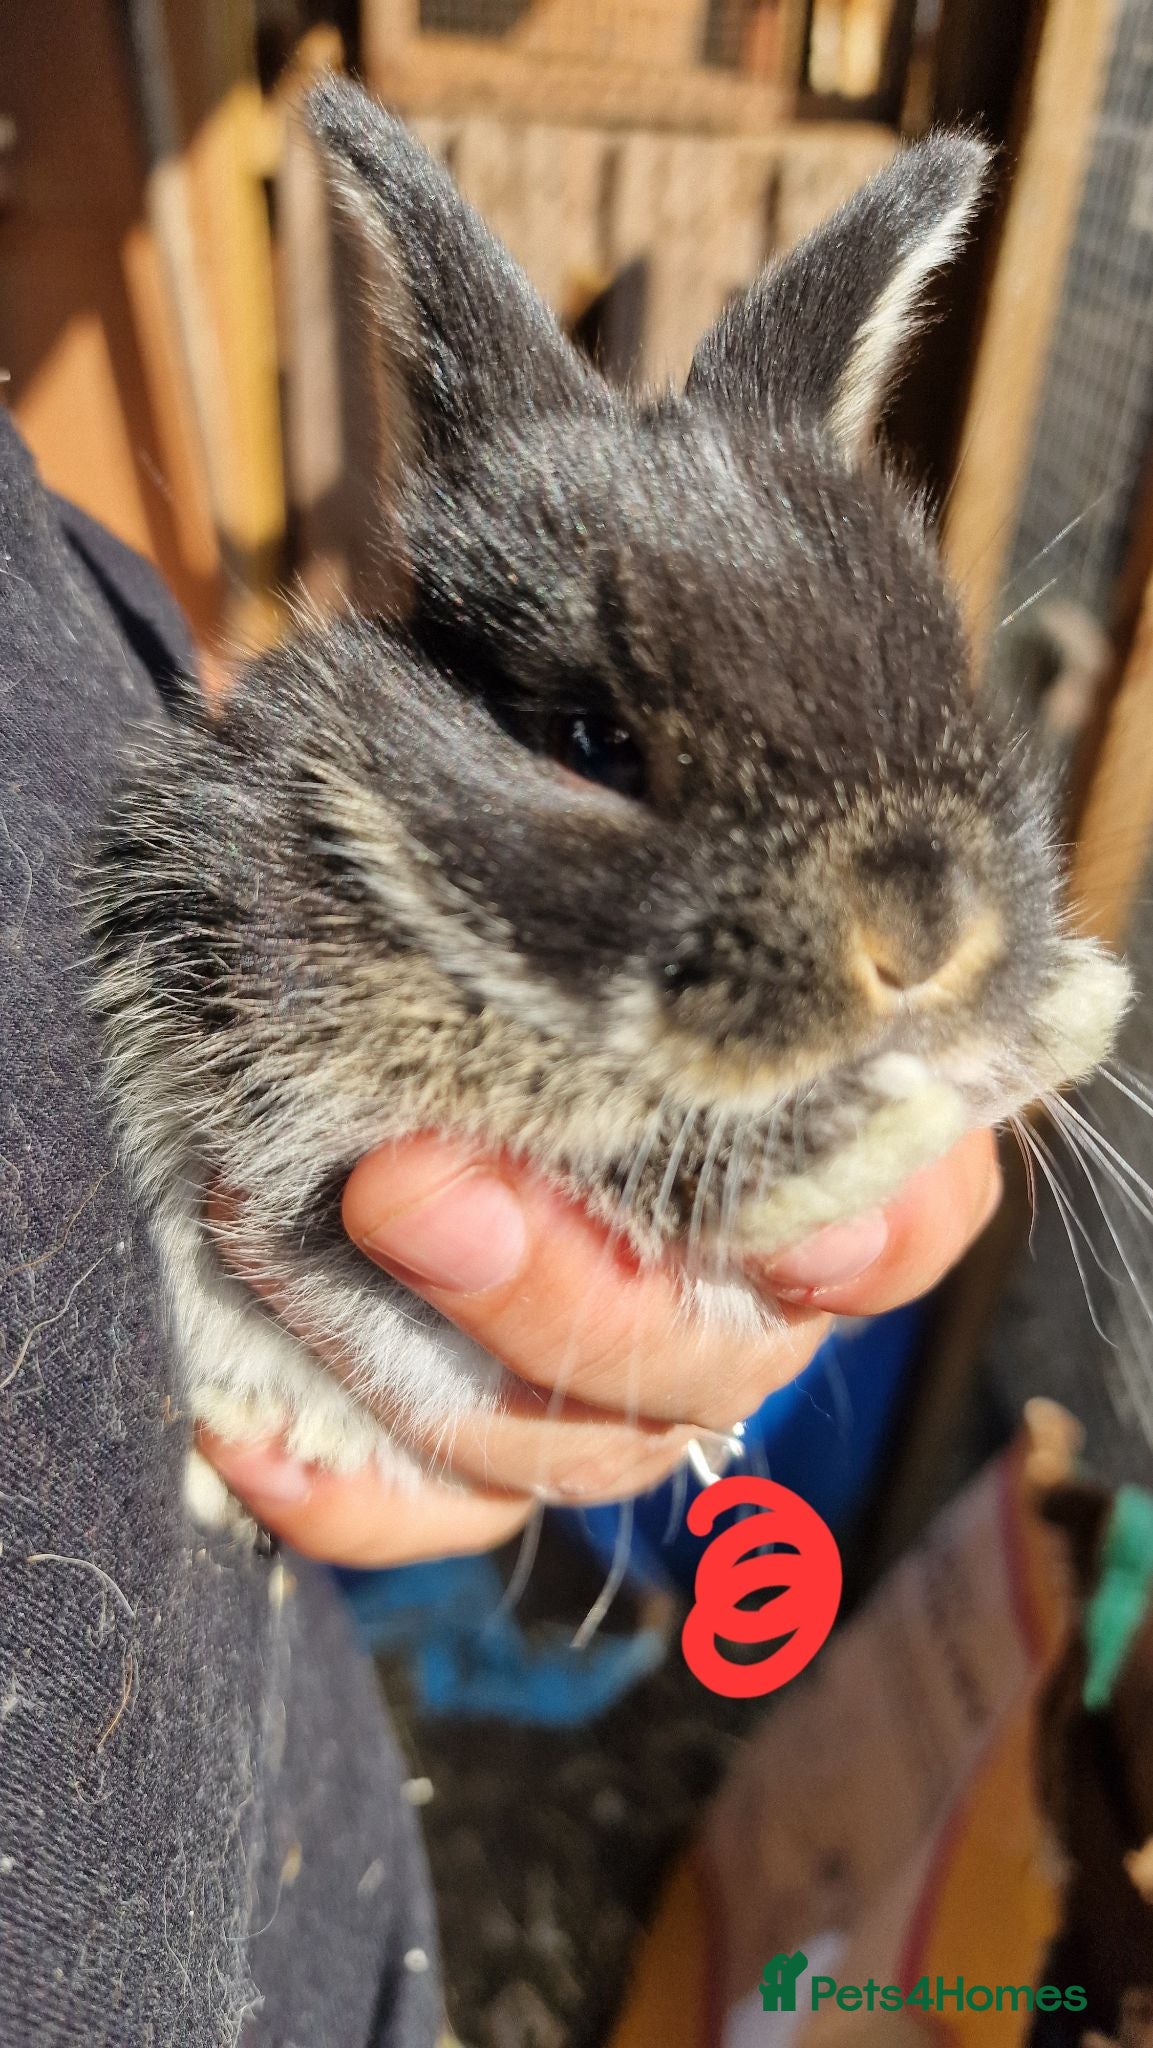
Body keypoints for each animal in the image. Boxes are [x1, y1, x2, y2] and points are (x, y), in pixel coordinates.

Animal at [85, 79, 1131, 1487]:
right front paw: (870, 1137)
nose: (921, 936)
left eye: (948, 669)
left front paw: (1066, 1010)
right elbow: (633, 1154)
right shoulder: (300, 1125)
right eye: (593, 740)